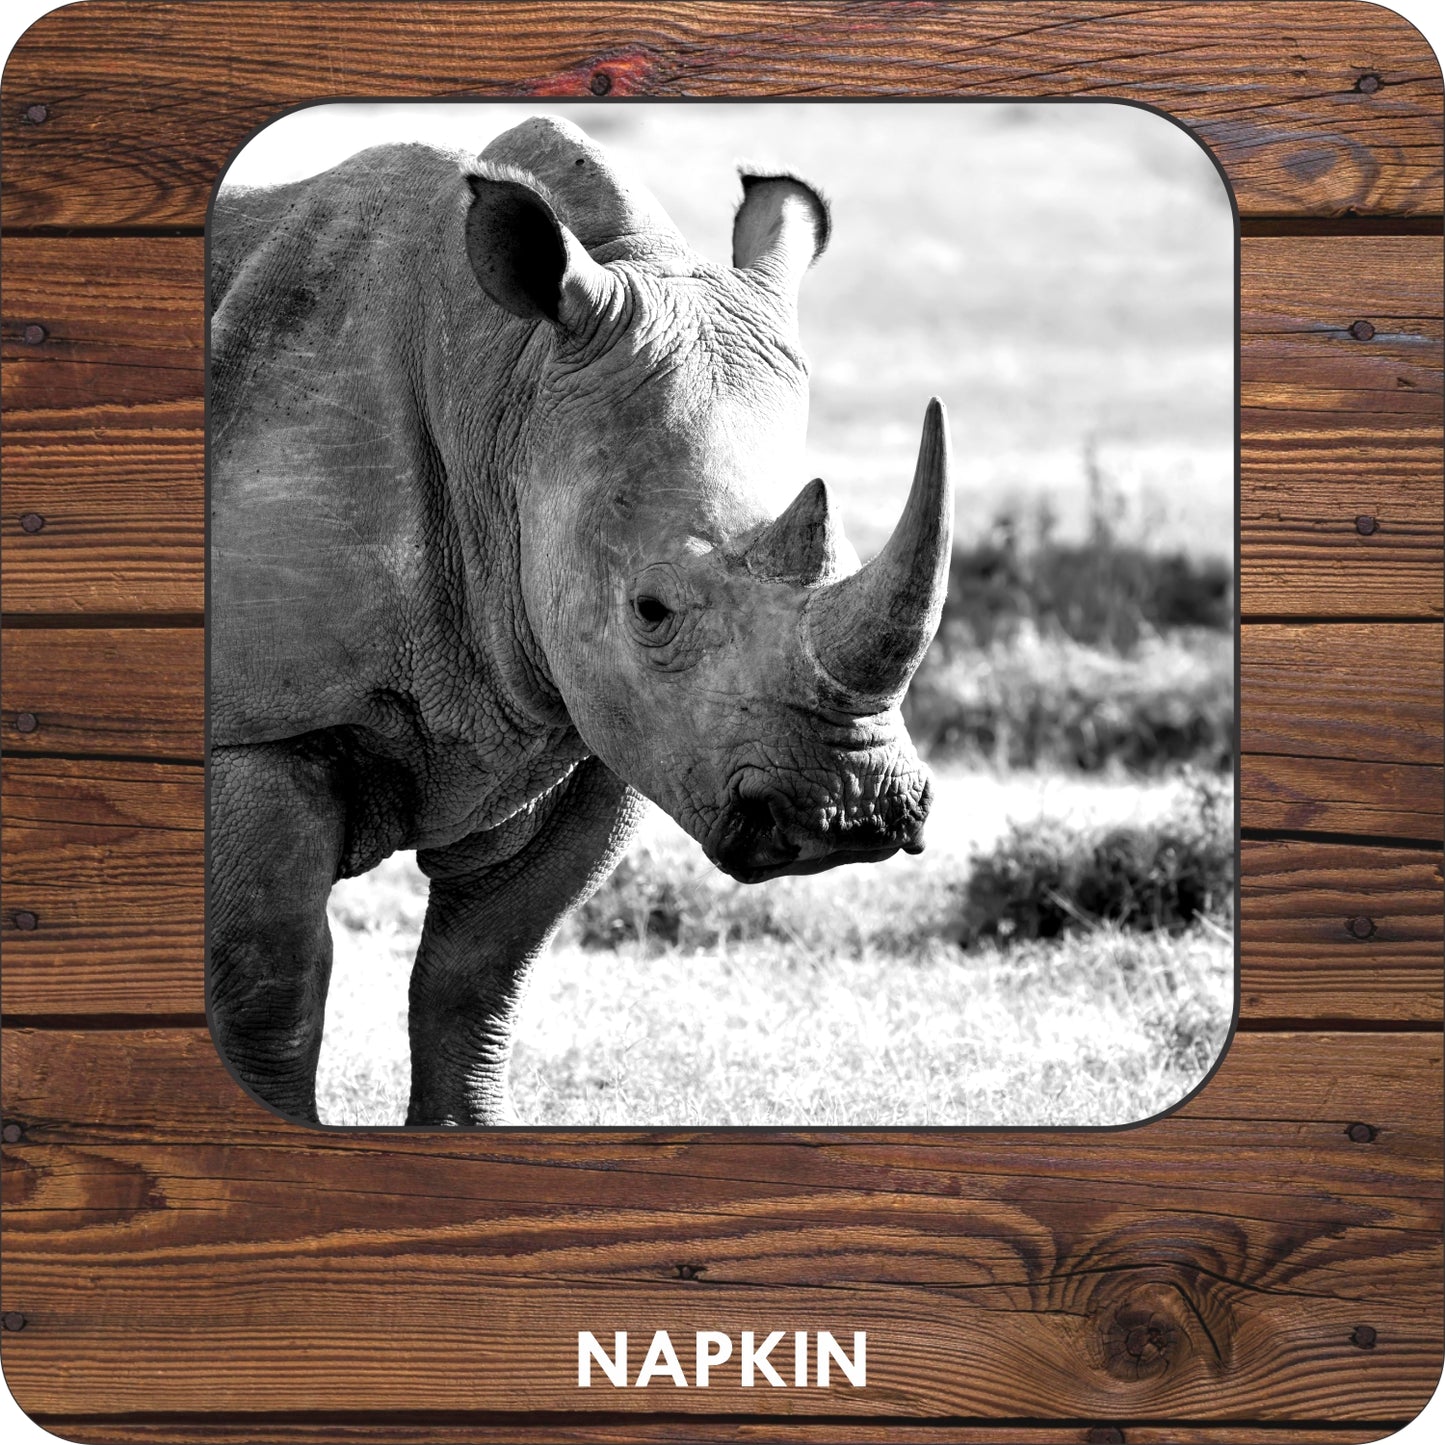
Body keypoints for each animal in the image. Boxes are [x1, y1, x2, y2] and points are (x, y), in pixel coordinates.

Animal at [209, 114, 953, 1126]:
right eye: (651, 609)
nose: (849, 812)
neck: (507, 391)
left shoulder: (595, 727)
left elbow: (479, 974)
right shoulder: (262, 718)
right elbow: (272, 980)